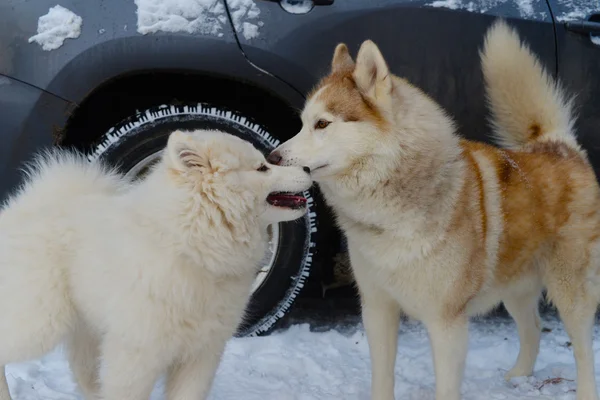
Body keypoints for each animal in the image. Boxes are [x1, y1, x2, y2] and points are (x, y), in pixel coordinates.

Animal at [0, 130, 312, 398]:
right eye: (262, 168)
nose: (308, 169)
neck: (192, 245)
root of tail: (23, 207)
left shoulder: (201, 355)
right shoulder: (135, 355)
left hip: (85, 329)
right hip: (41, 322)